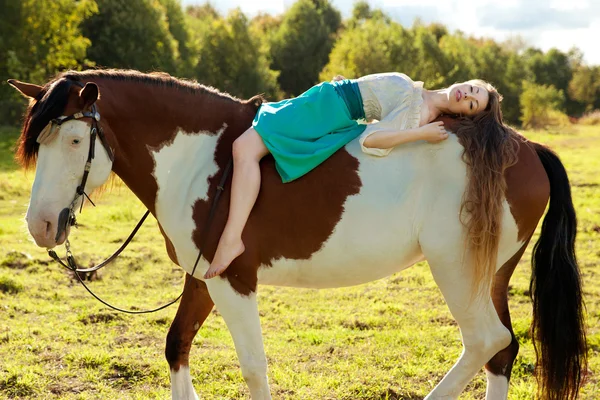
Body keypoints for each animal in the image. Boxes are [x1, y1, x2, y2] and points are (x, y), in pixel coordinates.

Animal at [8, 70, 584, 398]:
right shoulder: (203, 279)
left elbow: (254, 369)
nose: (40, 225)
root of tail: (525, 147)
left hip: (457, 271)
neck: (205, 160)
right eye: (40, 141)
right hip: (490, 274)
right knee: (501, 352)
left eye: (75, 139)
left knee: (487, 340)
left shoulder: (233, 282)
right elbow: (176, 347)